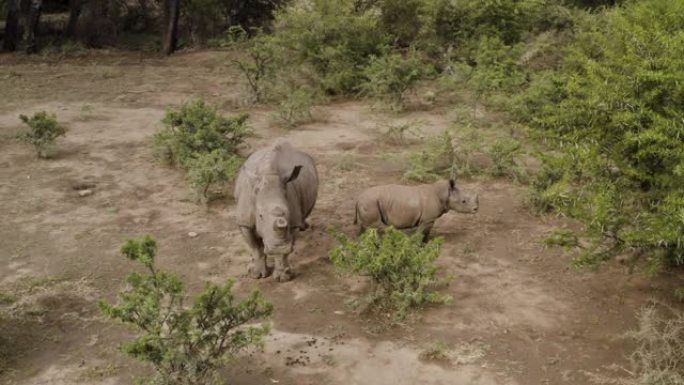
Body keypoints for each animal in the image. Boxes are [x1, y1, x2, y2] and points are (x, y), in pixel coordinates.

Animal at [234, 141, 320, 282]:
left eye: (288, 213)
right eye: (260, 215)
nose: (279, 246)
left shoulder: (293, 222)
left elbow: (284, 252)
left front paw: (283, 277)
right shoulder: (244, 221)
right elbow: (256, 248)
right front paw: (256, 275)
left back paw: (305, 226)